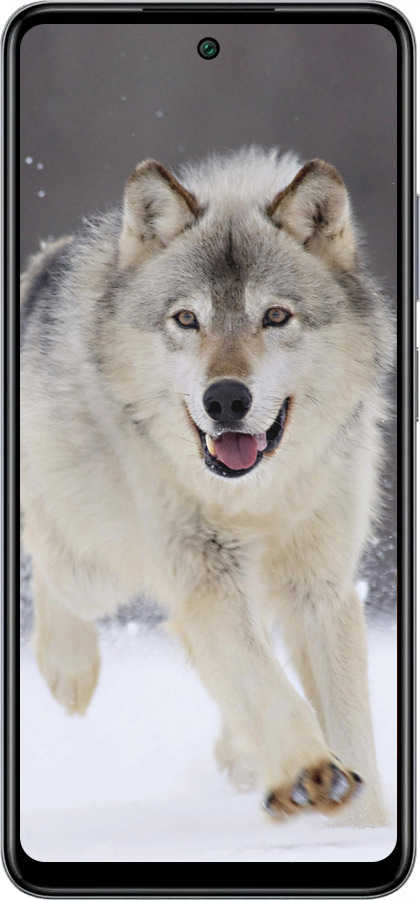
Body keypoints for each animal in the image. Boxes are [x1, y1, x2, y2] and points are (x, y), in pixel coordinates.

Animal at [20, 147, 394, 826]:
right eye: (187, 319)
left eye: (275, 316)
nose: (225, 399)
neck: (255, 497)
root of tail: (46, 261)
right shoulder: (205, 574)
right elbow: (267, 686)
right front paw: (309, 773)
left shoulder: (319, 586)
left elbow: (348, 722)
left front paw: (361, 826)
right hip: (98, 565)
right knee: (48, 556)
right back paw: (69, 670)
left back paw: (242, 758)